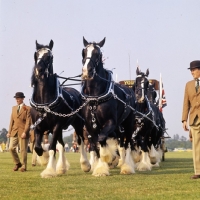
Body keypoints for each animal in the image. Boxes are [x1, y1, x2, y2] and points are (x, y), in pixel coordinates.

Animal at [30, 39, 90, 177]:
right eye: (36, 55)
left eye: (50, 56)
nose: (39, 70)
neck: (44, 102)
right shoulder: (39, 126)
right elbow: (38, 147)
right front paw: (45, 160)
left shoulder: (56, 125)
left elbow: (52, 148)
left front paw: (49, 171)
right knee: (62, 144)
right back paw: (62, 167)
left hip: (78, 124)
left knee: (81, 141)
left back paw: (85, 165)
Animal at [80, 36, 135, 176]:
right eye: (84, 52)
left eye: (98, 54)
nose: (86, 71)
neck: (95, 97)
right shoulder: (90, 127)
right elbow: (97, 144)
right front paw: (101, 167)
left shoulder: (110, 122)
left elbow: (102, 139)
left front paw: (108, 159)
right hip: (119, 128)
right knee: (121, 144)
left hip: (128, 124)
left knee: (127, 144)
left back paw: (126, 166)